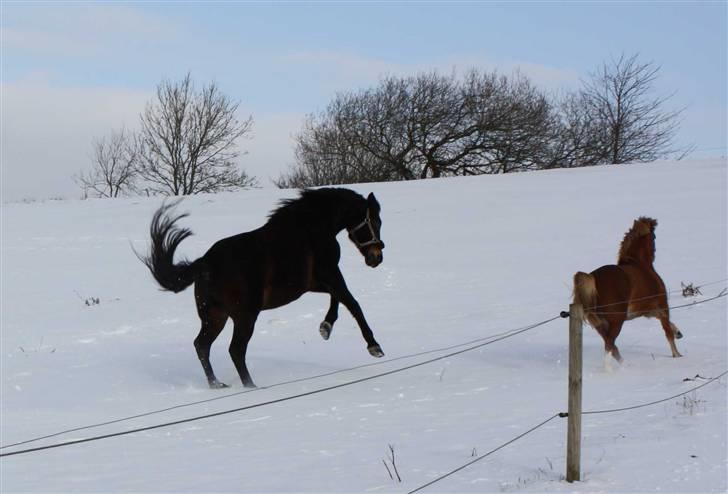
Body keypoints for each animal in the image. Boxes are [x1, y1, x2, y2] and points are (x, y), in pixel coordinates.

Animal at [138, 187, 386, 388]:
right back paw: (251, 386)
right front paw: (374, 347)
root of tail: (205, 262)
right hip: (245, 316)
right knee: (235, 350)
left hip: (216, 316)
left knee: (202, 345)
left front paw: (325, 327)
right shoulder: (330, 274)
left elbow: (337, 299)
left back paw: (218, 384)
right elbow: (352, 304)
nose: (377, 257)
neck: (312, 228)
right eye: (375, 222)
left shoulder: (314, 283)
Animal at [576, 218, 684, 364]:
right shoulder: (662, 307)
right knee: (609, 345)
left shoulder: (648, 311)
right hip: (616, 322)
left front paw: (678, 333)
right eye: (654, 237)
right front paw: (677, 355)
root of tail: (593, 278)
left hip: (600, 324)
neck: (641, 265)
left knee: (611, 346)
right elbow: (668, 332)